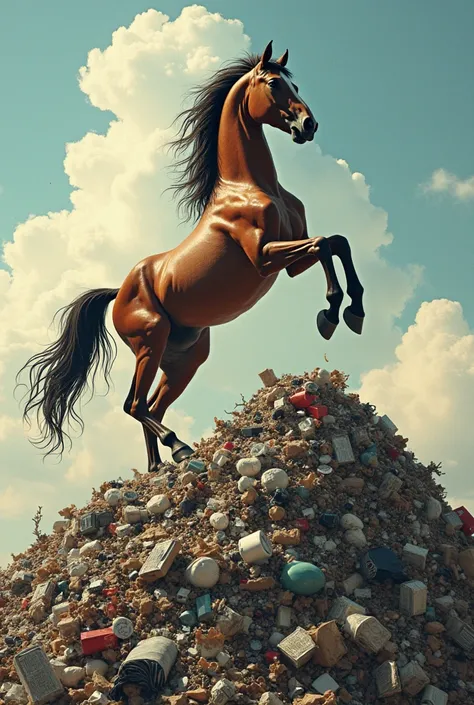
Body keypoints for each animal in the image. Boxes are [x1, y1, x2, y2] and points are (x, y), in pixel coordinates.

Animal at [13, 41, 362, 470]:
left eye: (294, 85)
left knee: (151, 406)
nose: (307, 126)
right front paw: (330, 313)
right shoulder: (264, 258)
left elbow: (337, 241)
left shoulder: (291, 264)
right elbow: (325, 243)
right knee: (134, 405)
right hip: (150, 341)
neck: (251, 186)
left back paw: (157, 468)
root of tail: (119, 292)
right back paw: (178, 447)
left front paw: (354, 311)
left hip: (183, 360)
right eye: (274, 84)